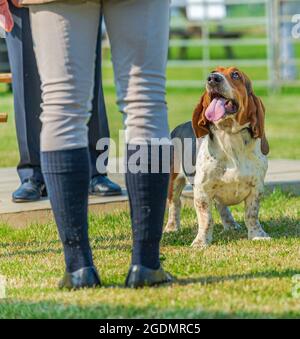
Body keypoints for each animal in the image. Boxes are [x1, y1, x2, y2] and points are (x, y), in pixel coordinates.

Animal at [165, 66, 270, 248]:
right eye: (214, 71)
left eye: (236, 74)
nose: (212, 78)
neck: (230, 138)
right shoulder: (202, 191)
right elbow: (206, 219)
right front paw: (201, 242)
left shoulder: (256, 189)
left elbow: (251, 215)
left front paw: (258, 235)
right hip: (174, 179)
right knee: (174, 203)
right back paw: (172, 227)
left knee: (221, 206)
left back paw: (230, 224)